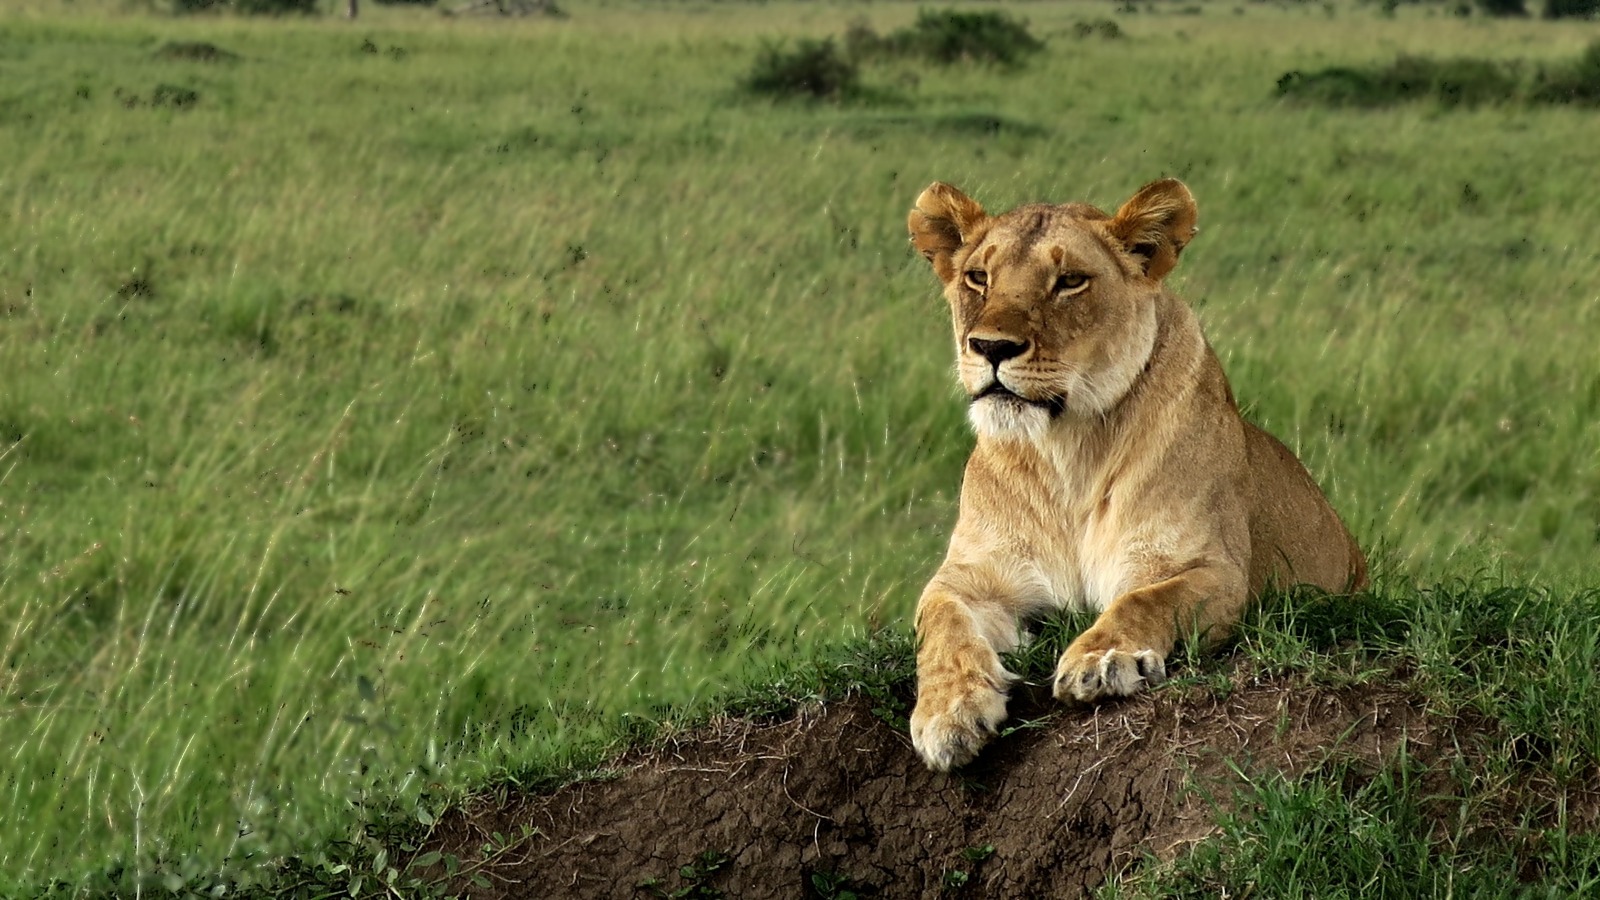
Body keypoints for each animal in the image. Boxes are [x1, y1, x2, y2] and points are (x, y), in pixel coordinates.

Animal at [905, 178, 1366, 771]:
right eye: (978, 277)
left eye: (1070, 281)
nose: (990, 348)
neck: (1067, 449)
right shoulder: (970, 575)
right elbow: (940, 621)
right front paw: (949, 711)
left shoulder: (1214, 571)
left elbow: (1144, 599)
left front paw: (1102, 659)